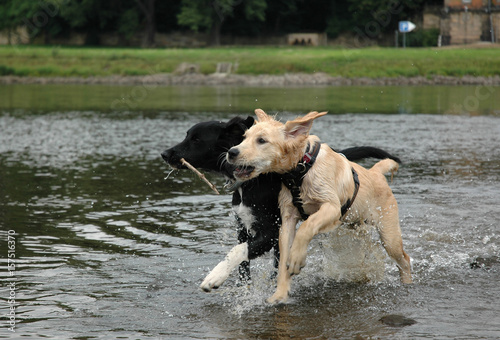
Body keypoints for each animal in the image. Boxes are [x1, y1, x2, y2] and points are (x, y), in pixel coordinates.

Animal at [161, 116, 402, 292]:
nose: (164, 153)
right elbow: (243, 262)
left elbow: (237, 251)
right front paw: (244, 288)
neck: (252, 182)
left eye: (196, 140)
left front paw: (215, 276)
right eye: (187, 135)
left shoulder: (270, 232)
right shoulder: (243, 227)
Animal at [227, 109, 410, 302]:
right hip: (356, 227)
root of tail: (375, 173)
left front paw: (297, 258)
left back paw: (407, 283)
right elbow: (283, 259)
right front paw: (280, 294)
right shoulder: (287, 219)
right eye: (244, 137)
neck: (301, 170)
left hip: (389, 237)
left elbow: (306, 227)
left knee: (405, 260)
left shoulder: (331, 207)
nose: (231, 152)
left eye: (261, 140)